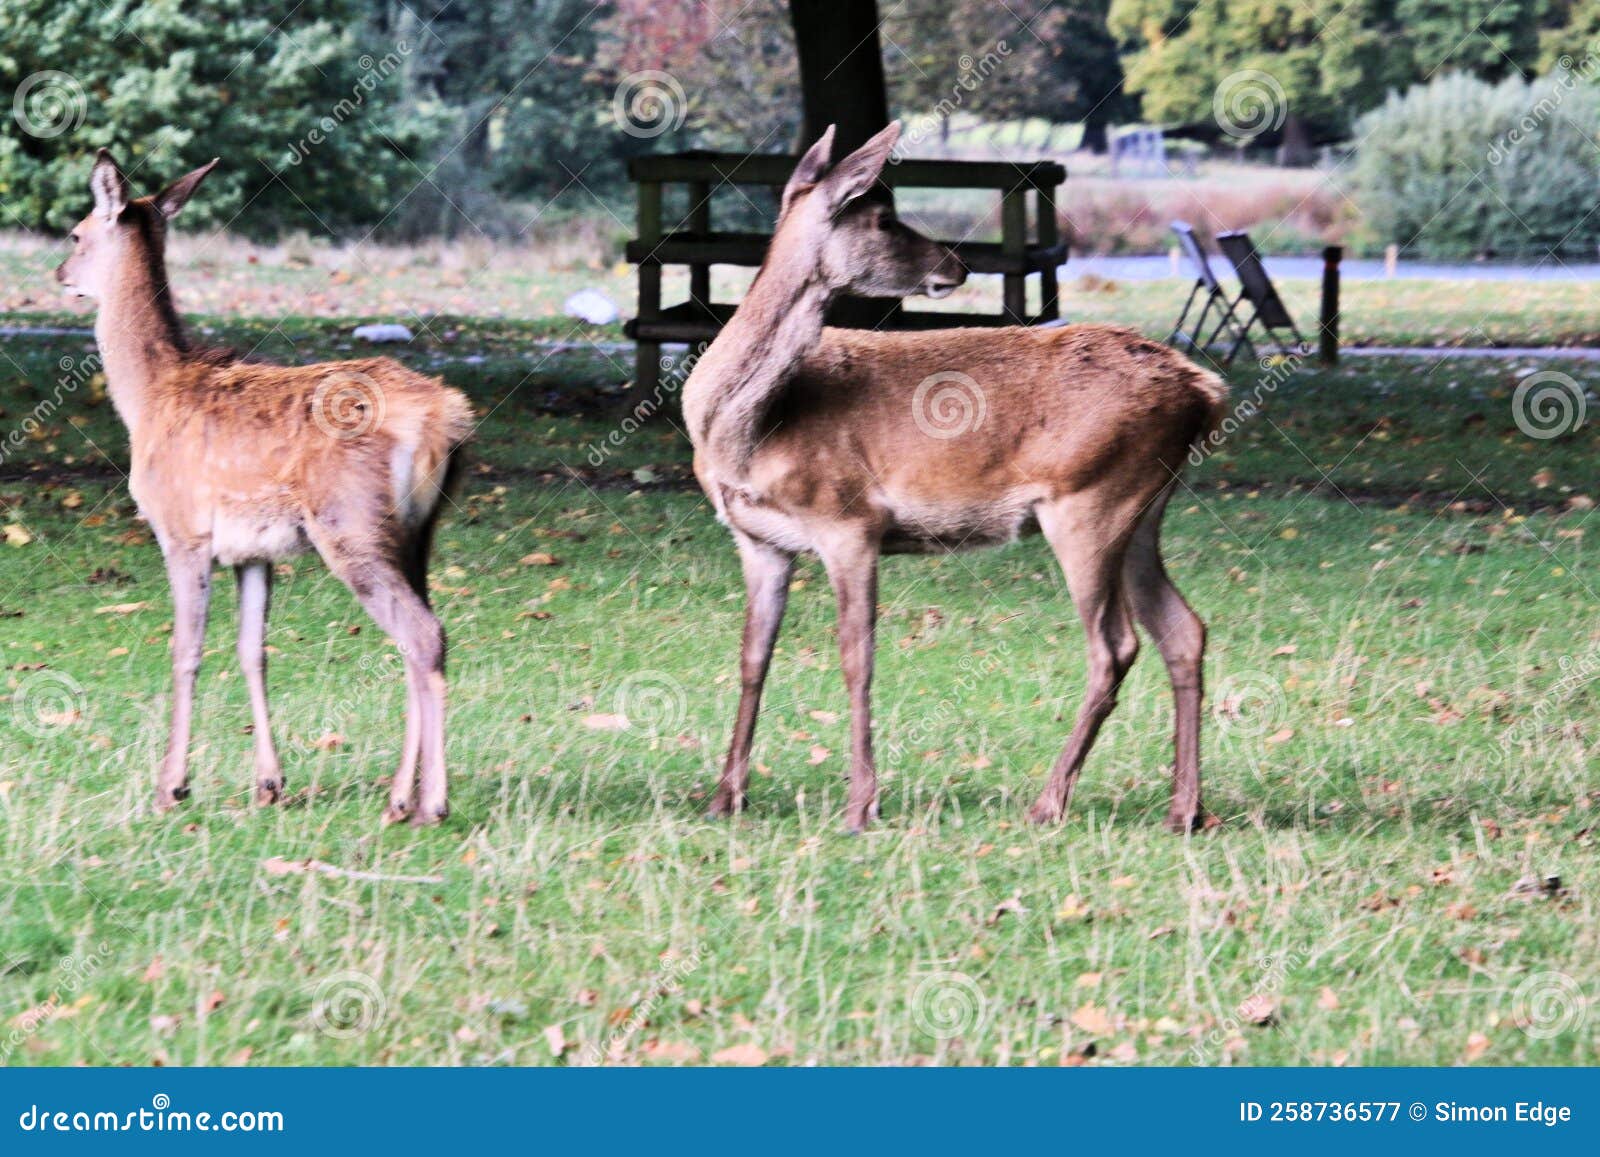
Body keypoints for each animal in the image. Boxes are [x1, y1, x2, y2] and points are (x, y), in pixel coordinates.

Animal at [56, 151, 474, 825]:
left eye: (75, 233)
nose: (60, 272)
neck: (147, 400)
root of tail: (447, 418)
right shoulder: (253, 551)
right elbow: (254, 650)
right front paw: (268, 784)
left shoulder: (183, 530)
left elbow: (186, 650)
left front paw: (171, 786)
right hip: (417, 533)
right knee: (421, 636)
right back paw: (400, 797)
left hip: (351, 522)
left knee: (420, 634)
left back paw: (427, 803)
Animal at [683, 123, 1228, 835]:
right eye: (883, 219)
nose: (957, 264)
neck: (751, 431)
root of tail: (1206, 390)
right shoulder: (759, 539)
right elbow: (753, 658)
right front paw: (725, 798)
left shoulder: (849, 520)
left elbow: (857, 658)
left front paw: (860, 805)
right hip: (1144, 508)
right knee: (1183, 630)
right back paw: (1183, 810)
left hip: (1091, 496)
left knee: (1113, 646)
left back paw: (1048, 802)